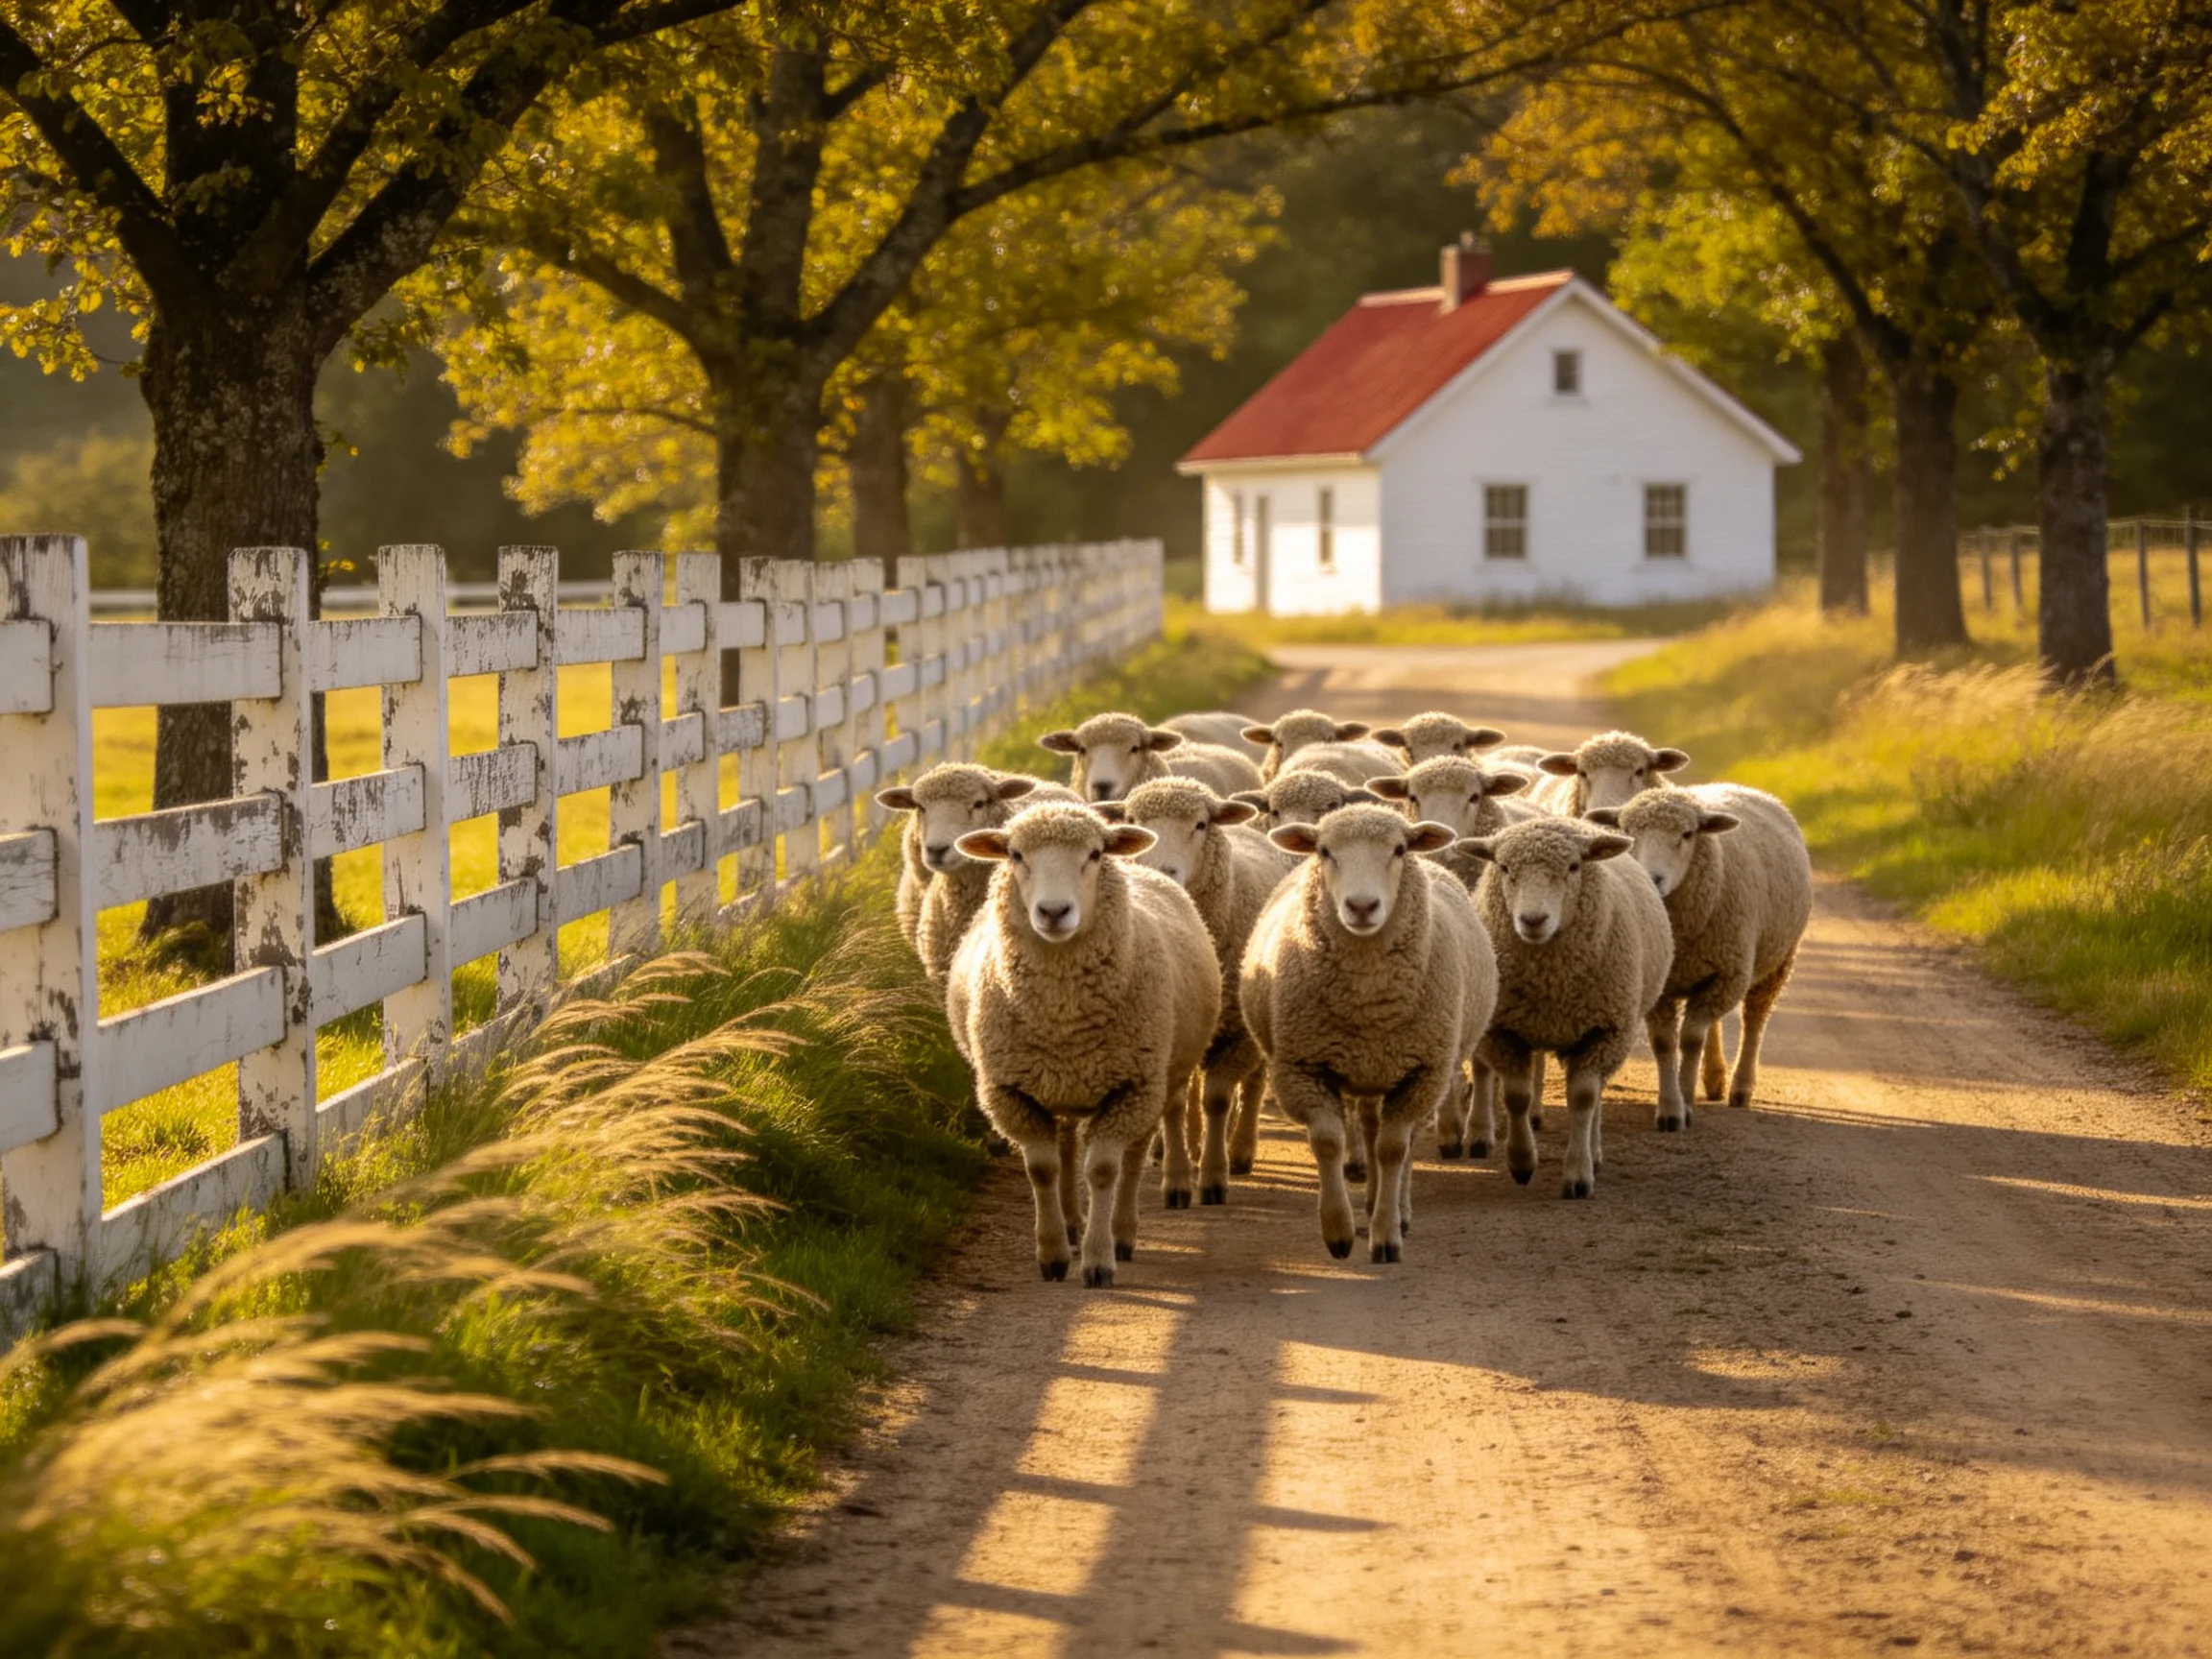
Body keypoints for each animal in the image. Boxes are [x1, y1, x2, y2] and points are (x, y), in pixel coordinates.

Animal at [947, 804, 1220, 1286]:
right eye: (1016, 855)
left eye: (1094, 854)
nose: (1054, 911)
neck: (1063, 1017)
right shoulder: (1010, 1092)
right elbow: (1043, 1169)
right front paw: (1054, 1254)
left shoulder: (1130, 1088)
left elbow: (1105, 1170)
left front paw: (1097, 1259)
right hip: (1061, 1087)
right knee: (1067, 1147)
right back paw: (1073, 1223)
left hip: (1155, 1082)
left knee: (1133, 1157)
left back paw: (1121, 1232)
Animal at [1097, 778, 1298, 1200]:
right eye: (1133, 821)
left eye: (1201, 824)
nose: (1163, 870)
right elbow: (1180, 1099)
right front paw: (1180, 1158)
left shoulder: (1237, 1031)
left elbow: (1218, 1099)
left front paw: (1214, 1173)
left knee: (1252, 1083)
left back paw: (1240, 1149)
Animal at [1240, 805, 1497, 1262]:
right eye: (1325, 851)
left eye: (1398, 850)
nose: (1362, 906)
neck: (1367, 1000)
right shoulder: (1303, 1067)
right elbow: (1329, 1142)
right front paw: (1339, 1231)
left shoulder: (1422, 1074)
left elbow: (1394, 1150)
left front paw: (1387, 1236)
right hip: (1370, 1071)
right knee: (1371, 1125)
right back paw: (1375, 1197)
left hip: (1416, 1072)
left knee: (1400, 1141)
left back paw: (1398, 1207)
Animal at [1456, 816, 1673, 1198]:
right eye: (1505, 867)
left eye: (1573, 867)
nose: (1533, 920)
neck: (1552, 983)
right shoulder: (1503, 1030)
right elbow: (1517, 1097)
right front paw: (1522, 1162)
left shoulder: (1604, 1030)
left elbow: (1584, 1099)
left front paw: (1579, 1173)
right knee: (1484, 1072)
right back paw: (1480, 1136)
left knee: (1596, 1094)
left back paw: (1595, 1152)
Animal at [1589, 783, 1812, 1124]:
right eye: (1628, 832)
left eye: (1687, 834)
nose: (1653, 878)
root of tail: (1737, 787)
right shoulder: (1665, 984)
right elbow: (1665, 1042)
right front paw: (1671, 1107)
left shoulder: (1728, 975)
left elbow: (1691, 1039)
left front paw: (1686, 1099)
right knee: (1714, 1023)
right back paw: (1714, 1078)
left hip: (1777, 962)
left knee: (1754, 1019)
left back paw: (1741, 1087)